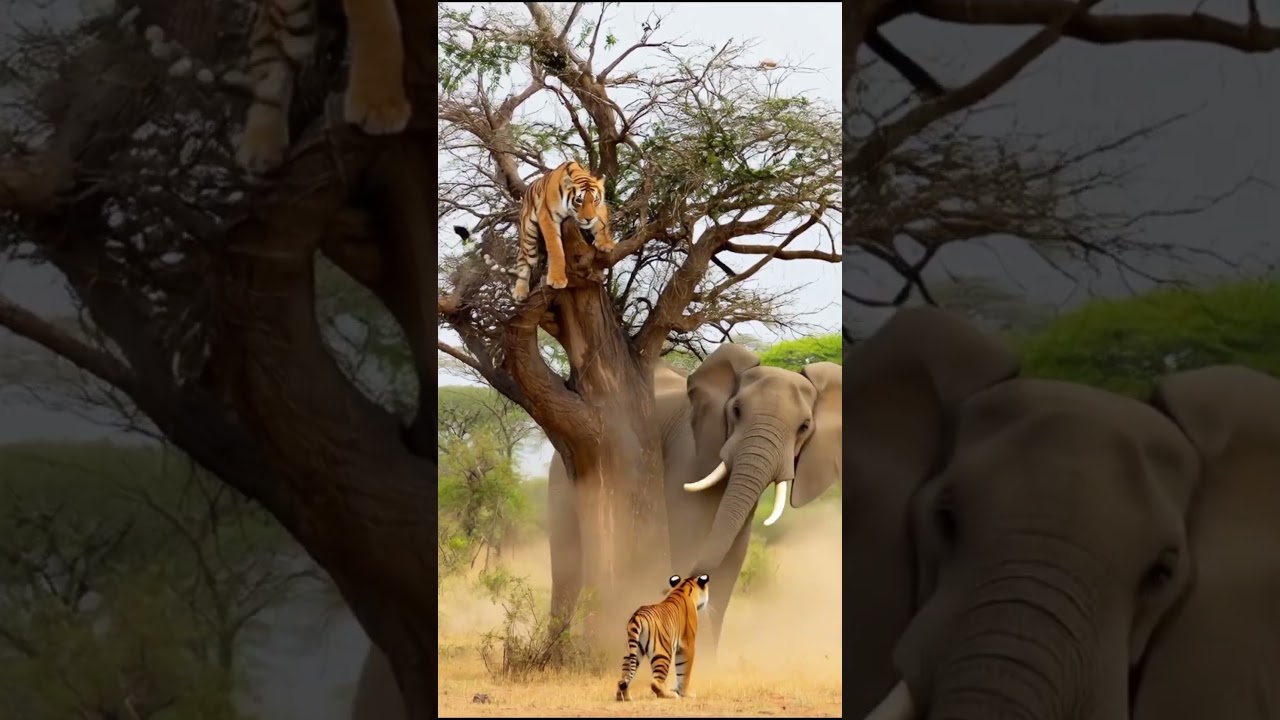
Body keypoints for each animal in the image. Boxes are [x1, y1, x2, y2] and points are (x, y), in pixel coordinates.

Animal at [512, 160, 616, 302]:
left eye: (595, 200)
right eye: (579, 200)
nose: (589, 219)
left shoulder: (599, 209)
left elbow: (602, 224)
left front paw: (606, 243)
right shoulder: (548, 218)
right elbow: (556, 250)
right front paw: (557, 279)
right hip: (529, 237)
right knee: (524, 260)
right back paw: (520, 292)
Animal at [549, 344, 843, 659]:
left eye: (804, 427)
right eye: (736, 410)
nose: (671, 586)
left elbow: (731, 560)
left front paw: (708, 661)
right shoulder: (688, 453)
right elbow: (686, 541)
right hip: (570, 466)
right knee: (567, 568)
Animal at [616, 573, 711, 701]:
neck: (683, 588)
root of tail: (638, 616)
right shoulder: (687, 645)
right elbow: (684, 671)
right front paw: (685, 693)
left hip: (632, 651)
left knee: (623, 677)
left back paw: (624, 697)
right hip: (663, 651)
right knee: (655, 682)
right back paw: (670, 694)